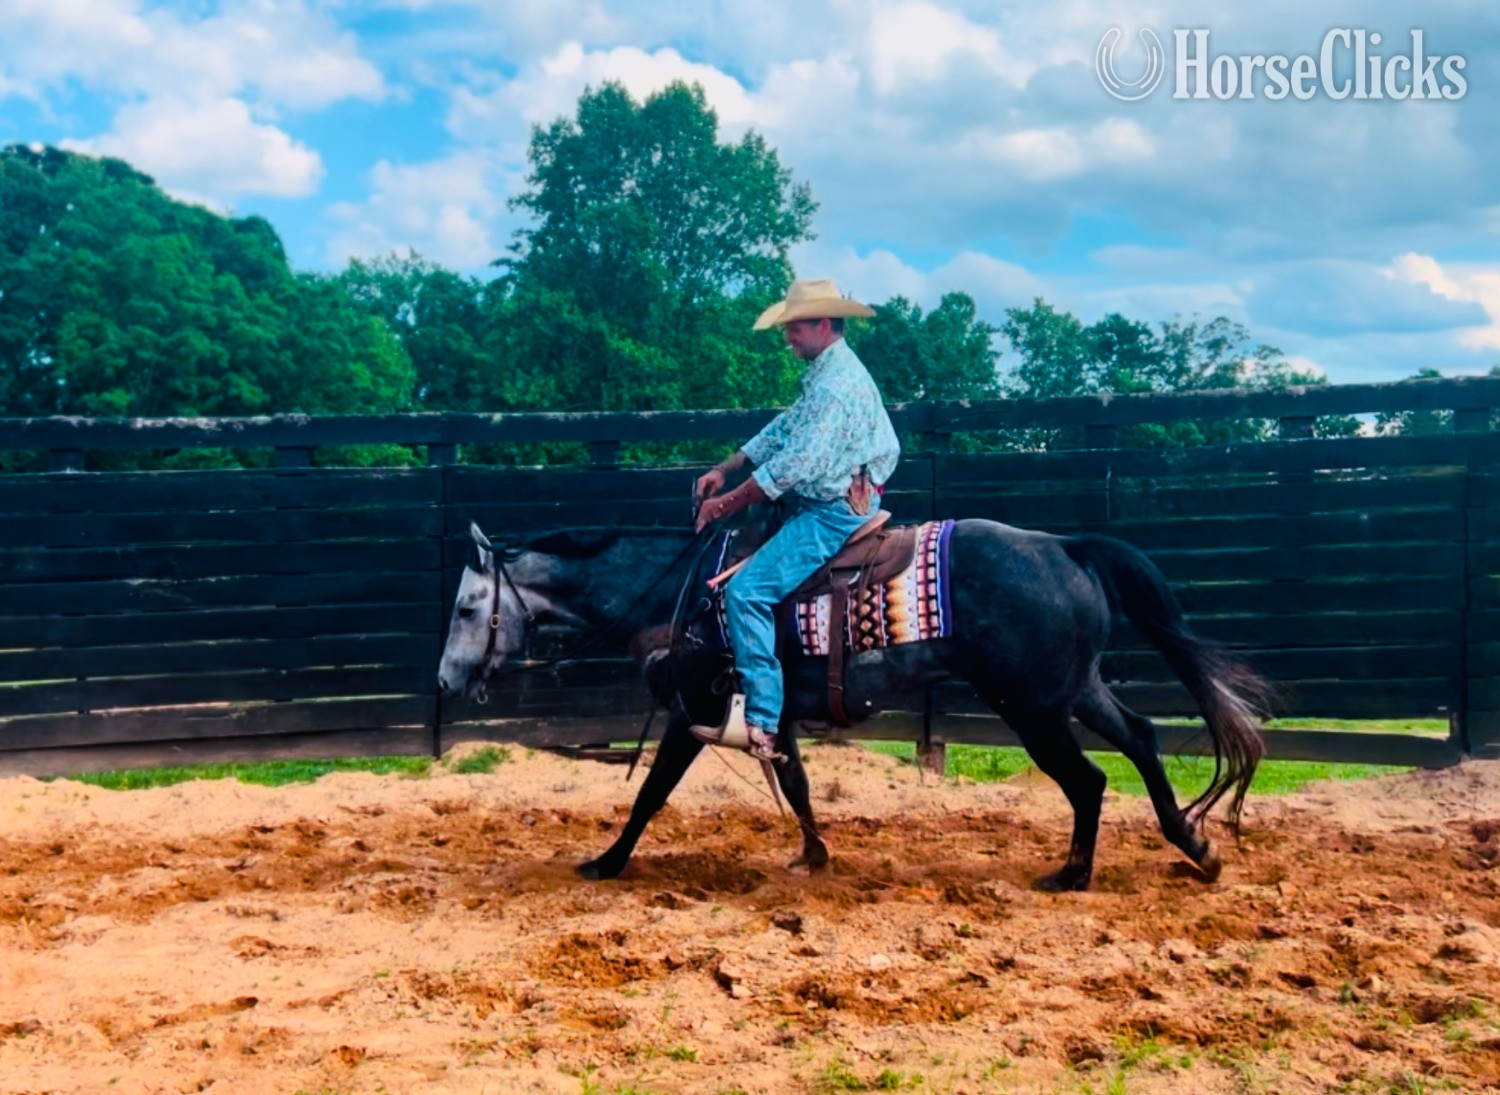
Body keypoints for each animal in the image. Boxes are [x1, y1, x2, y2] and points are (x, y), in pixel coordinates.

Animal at [436, 510, 1268, 892]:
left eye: (468, 607)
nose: (444, 680)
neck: (685, 596)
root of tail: (1064, 546)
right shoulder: (770, 715)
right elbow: (798, 784)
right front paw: (813, 852)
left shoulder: (692, 709)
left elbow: (651, 793)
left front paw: (606, 862)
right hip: (1074, 687)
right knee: (1141, 738)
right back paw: (1193, 844)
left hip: (1032, 706)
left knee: (1090, 778)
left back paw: (1074, 872)